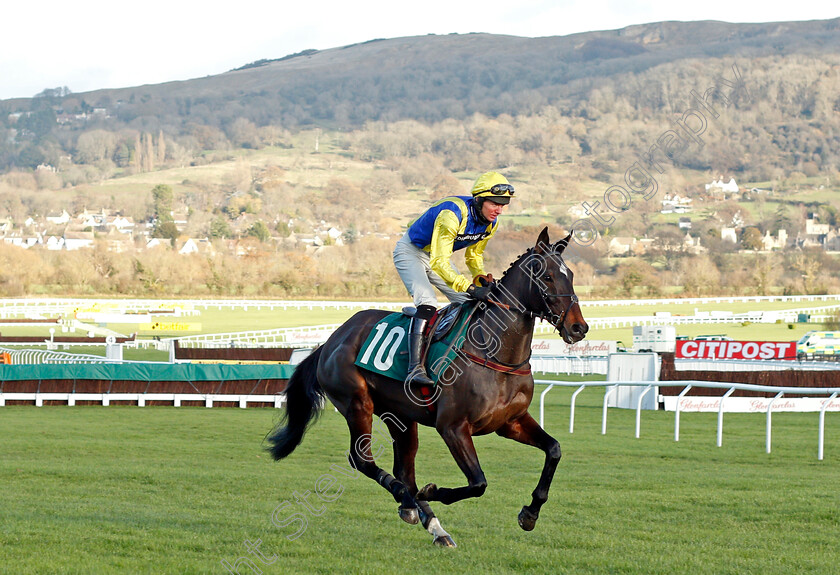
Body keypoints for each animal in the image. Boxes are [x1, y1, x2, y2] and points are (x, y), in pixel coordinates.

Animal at [266, 227, 588, 548]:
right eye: (547, 276)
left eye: (570, 274)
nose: (579, 328)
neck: (494, 351)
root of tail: (332, 339)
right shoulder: (453, 427)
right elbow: (478, 482)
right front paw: (432, 491)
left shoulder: (511, 422)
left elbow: (554, 450)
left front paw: (530, 513)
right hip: (357, 403)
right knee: (363, 460)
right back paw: (407, 499)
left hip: (400, 416)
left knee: (404, 470)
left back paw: (431, 523)